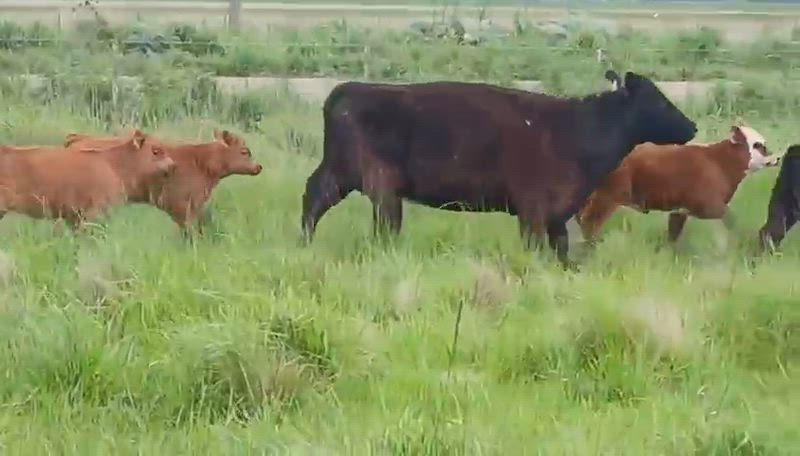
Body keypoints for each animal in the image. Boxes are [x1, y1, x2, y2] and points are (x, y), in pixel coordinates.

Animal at [300, 71, 697, 269]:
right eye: (659, 101)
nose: (692, 126)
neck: (578, 129)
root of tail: (348, 88)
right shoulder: (533, 209)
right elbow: (536, 247)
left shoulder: (557, 213)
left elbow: (562, 250)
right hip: (379, 185)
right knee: (382, 223)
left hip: (339, 174)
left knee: (314, 198)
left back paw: (305, 242)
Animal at [575, 125, 779, 246]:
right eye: (758, 145)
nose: (777, 158)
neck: (718, 161)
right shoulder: (709, 205)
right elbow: (732, 220)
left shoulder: (679, 211)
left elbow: (673, 235)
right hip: (607, 197)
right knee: (590, 223)